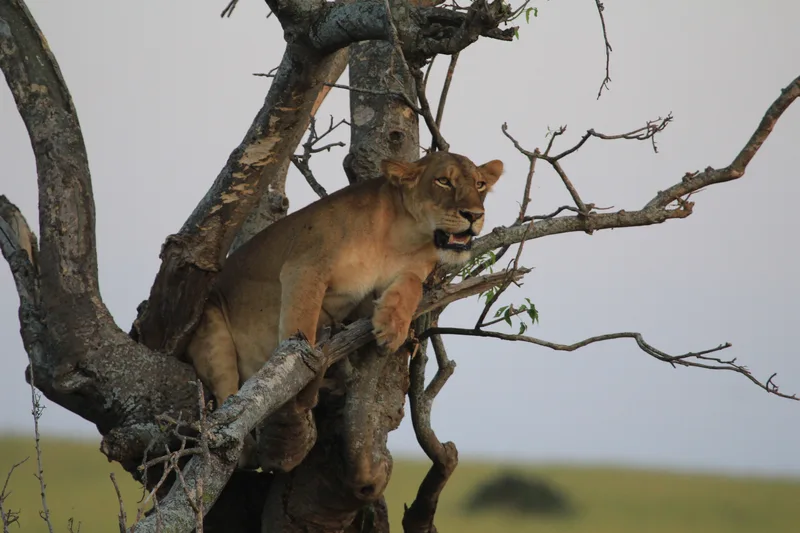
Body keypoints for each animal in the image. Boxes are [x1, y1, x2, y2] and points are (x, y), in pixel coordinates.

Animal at [186, 151, 504, 407]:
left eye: (479, 185)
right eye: (443, 181)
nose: (474, 215)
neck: (402, 237)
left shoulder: (401, 276)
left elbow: (411, 286)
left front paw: (392, 327)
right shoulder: (305, 265)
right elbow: (300, 323)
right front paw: (296, 376)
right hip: (212, 328)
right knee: (227, 397)